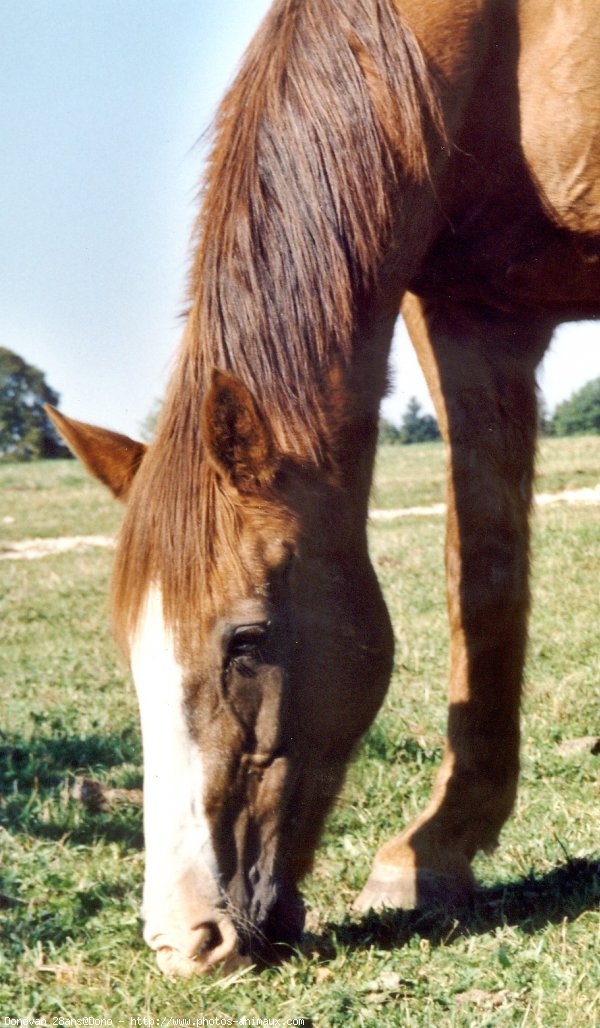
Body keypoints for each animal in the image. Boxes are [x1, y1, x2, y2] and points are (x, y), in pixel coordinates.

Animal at [46, 0, 600, 978]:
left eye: (247, 640)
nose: (184, 939)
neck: (507, 44)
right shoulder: (470, 319)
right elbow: (484, 585)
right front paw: (435, 851)